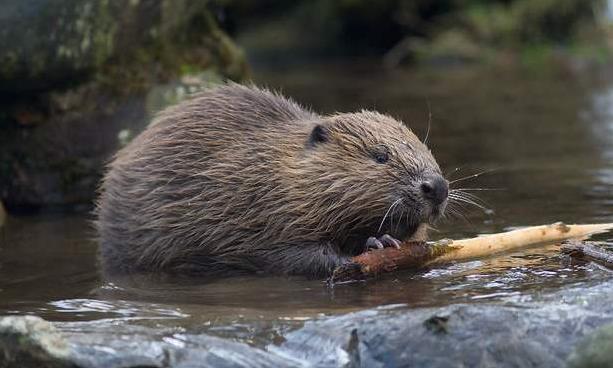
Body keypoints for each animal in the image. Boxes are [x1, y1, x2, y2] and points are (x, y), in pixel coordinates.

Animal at [97, 84, 450, 278]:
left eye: (425, 148)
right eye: (380, 156)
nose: (437, 187)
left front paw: (385, 239)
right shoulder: (255, 214)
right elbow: (284, 254)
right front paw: (369, 248)